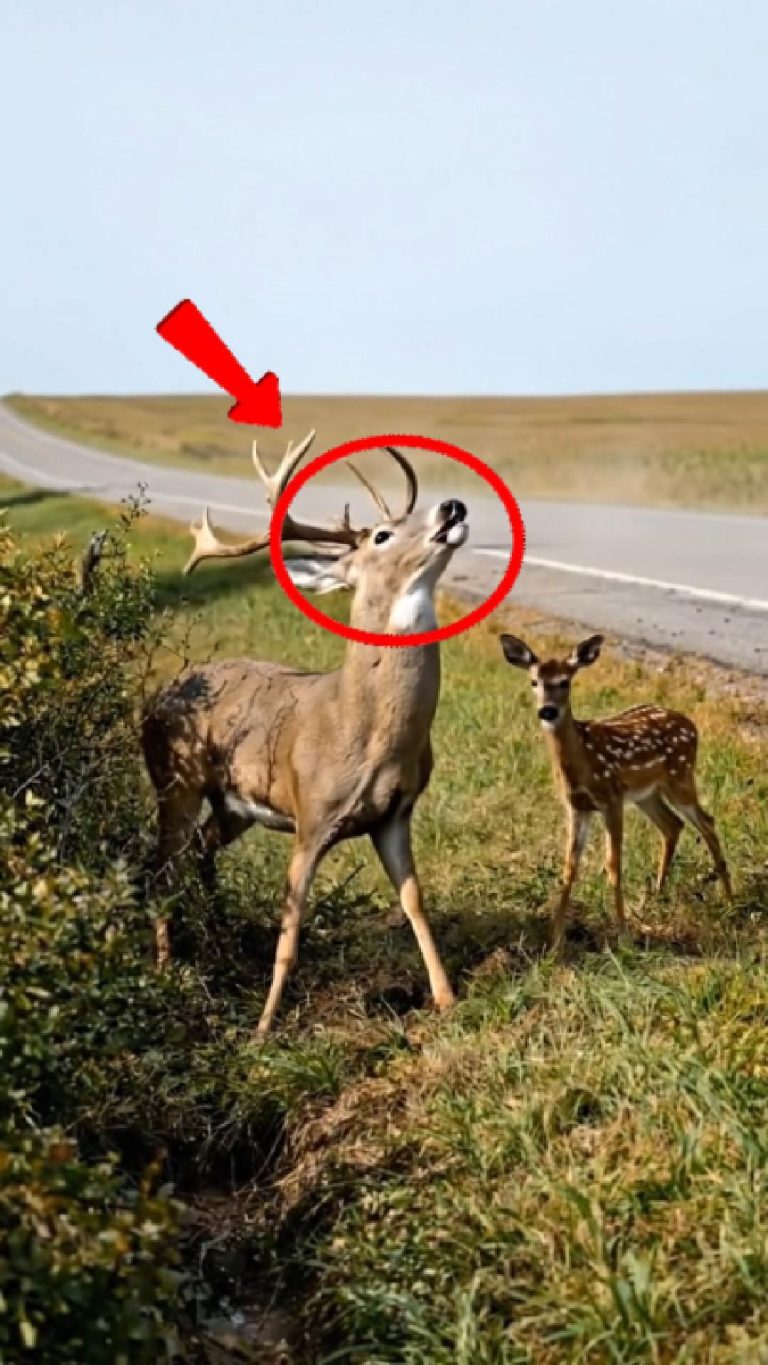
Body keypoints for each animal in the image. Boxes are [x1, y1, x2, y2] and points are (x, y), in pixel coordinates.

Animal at [142, 431, 469, 1034]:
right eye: (383, 534)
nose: (452, 507)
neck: (365, 730)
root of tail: (155, 699)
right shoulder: (312, 814)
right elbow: (290, 932)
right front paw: (264, 1028)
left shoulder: (394, 814)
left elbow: (415, 903)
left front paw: (446, 998)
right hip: (174, 782)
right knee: (162, 871)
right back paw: (166, 969)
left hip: (233, 806)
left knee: (200, 851)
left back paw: (220, 935)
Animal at [499, 631, 732, 951]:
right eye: (534, 682)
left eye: (565, 682)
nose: (547, 710)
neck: (582, 764)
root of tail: (691, 724)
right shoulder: (577, 806)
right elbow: (569, 867)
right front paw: (556, 940)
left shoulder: (611, 799)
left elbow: (613, 863)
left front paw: (622, 935)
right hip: (648, 794)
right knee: (672, 825)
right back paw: (657, 895)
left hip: (680, 777)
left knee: (706, 821)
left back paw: (731, 899)